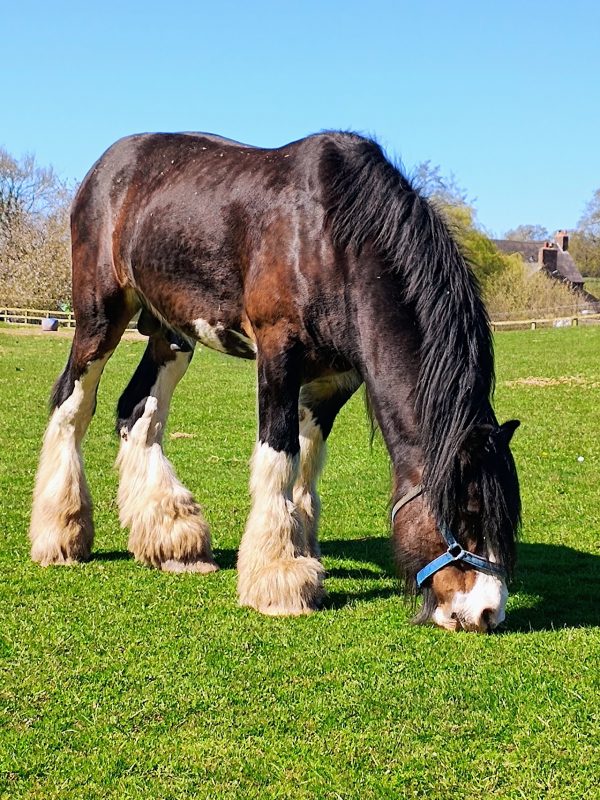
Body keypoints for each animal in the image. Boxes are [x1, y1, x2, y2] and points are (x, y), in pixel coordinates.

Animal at [29, 131, 521, 632]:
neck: (332, 240)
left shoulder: (333, 382)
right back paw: (61, 535)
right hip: (99, 318)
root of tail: (105, 167)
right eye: (468, 512)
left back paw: (173, 539)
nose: (487, 611)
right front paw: (278, 576)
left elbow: (306, 466)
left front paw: (300, 552)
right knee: (72, 407)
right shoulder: (277, 352)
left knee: (138, 412)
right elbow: (280, 455)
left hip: (172, 335)